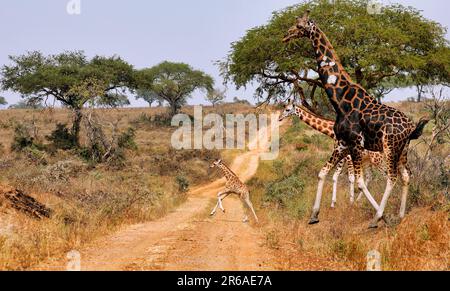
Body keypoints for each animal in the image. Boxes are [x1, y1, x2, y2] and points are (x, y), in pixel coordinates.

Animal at [284, 11, 428, 229]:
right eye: (295, 23)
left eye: (300, 26)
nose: (285, 36)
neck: (339, 100)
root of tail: (411, 127)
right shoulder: (342, 144)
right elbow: (323, 172)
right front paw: (314, 215)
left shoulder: (356, 143)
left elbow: (358, 181)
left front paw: (380, 216)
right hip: (403, 149)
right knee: (405, 175)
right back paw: (401, 215)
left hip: (390, 147)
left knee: (391, 177)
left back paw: (377, 218)